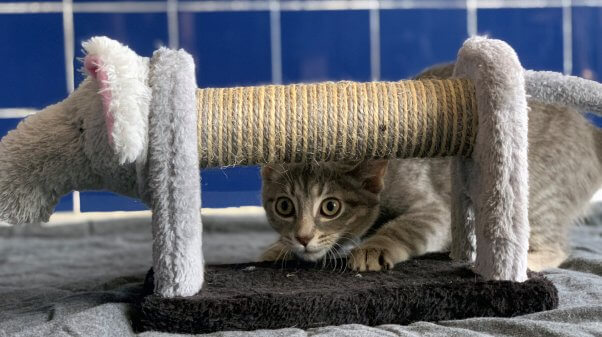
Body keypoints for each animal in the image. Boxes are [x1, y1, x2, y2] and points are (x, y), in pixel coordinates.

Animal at [258, 64, 600, 272]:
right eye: (284, 207)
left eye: (330, 207)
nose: (302, 237)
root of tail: (587, 130)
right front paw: (279, 248)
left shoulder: (434, 208)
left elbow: (403, 227)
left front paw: (374, 247)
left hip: (536, 195)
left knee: (556, 246)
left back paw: (528, 261)